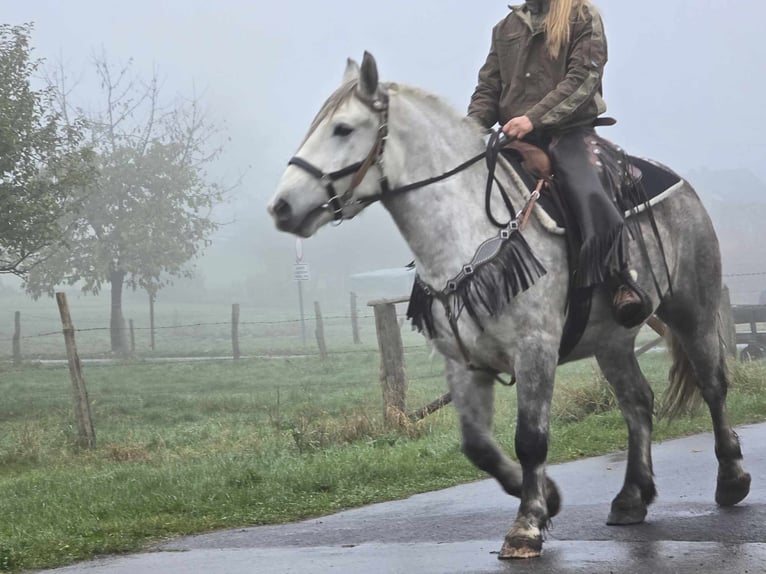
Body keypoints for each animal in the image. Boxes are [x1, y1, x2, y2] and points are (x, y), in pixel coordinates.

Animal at [268, 53, 752, 560]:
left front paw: (527, 526)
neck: (467, 232)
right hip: (612, 341)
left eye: (342, 128)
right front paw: (548, 497)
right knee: (637, 403)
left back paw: (731, 479)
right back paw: (631, 497)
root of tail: (680, 184)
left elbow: (531, 440)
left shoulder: (534, 351)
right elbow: (478, 446)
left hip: (692, 311)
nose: (281, 207)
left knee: (713, 385)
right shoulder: (464, 362)